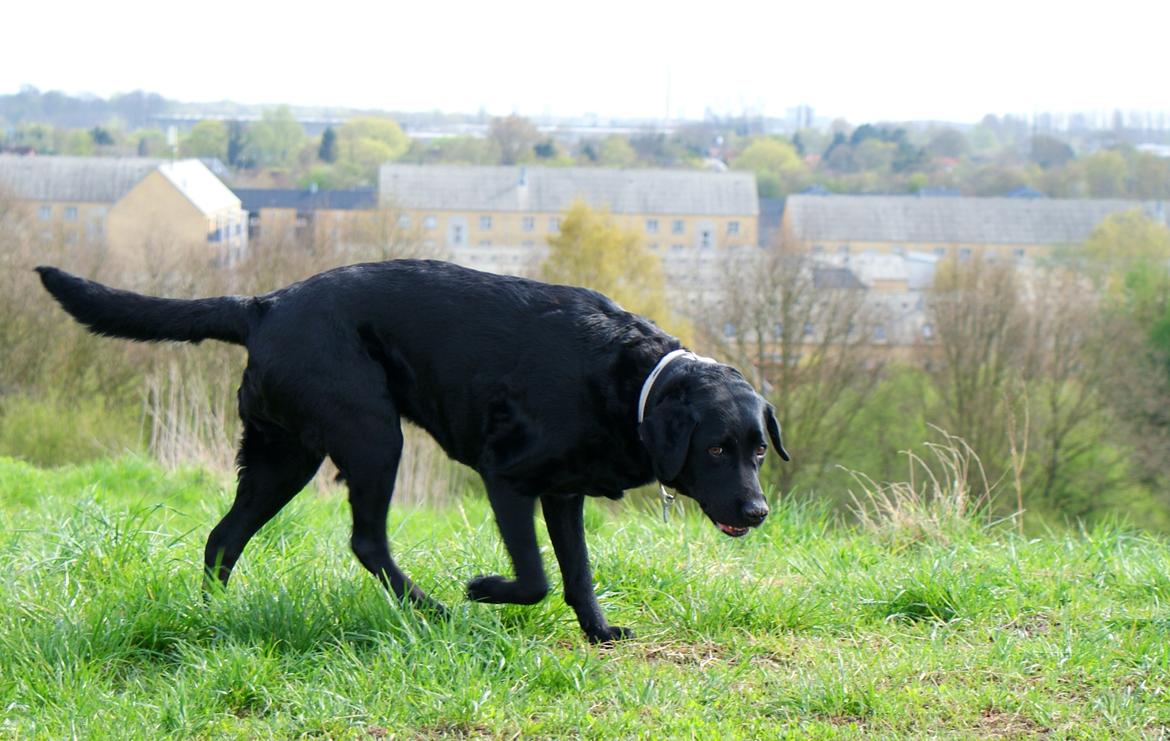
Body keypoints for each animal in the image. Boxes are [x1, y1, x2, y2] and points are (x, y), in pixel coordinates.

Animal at [36, 259, 790, 641]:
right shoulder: (508, 477)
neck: (634, 381)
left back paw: (208, 618)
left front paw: (601, 633)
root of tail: (264, 304)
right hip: (373, 435)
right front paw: (484, 589)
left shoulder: (564, 492)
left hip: (285, 456)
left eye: (758, 450)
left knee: (224, 537)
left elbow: (577, 574)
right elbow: (538, 577)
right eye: (716, 449)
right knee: (366, 541)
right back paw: (435, 611)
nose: (756, 512)